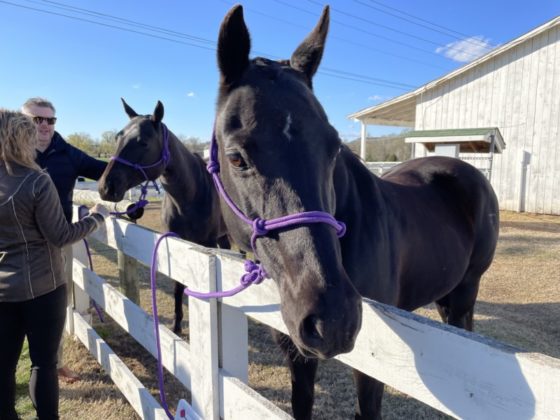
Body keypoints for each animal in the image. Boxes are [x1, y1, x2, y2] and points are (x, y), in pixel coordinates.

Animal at [97, 98, 229, 334]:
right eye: (117, 137)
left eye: (143, 142)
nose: (105, 187)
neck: (191, 194)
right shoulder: (177, 242)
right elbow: (177, 287)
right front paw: (176, 328)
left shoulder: (206, 243)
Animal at [214, 4, 498, 418]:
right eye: (236, 158)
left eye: (333, 147)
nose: (332, 319)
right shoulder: (295, 349)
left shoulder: (372, 365)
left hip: (465, 293)